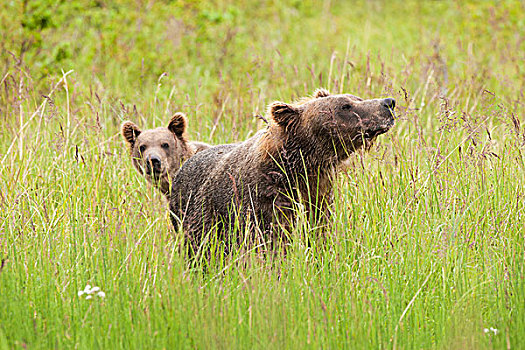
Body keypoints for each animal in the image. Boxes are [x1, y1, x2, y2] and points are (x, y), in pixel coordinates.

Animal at [170, 89, 396, 254]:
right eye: (345, 105)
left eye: (358, 98)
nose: (388, 102)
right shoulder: (262, 200)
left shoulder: (319, 192)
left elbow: (319, 229)